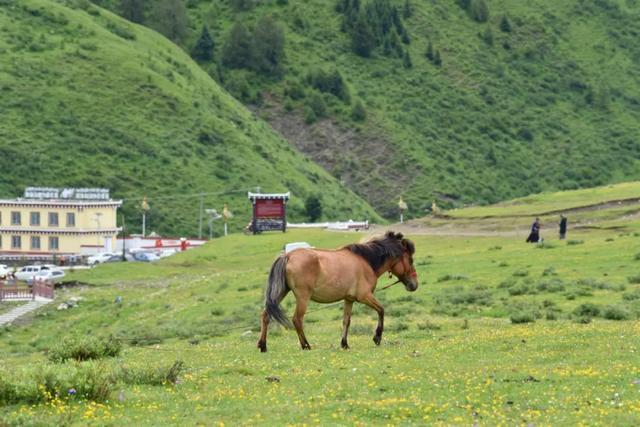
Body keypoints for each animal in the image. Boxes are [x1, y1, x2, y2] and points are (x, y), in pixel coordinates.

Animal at [258, 232, 418, 352]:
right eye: (410, 260)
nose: (414, 285)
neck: (366, 261)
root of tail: (288, 256)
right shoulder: (365, 296)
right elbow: (381, 310)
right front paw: (377, 337)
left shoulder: (349, 299)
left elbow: (346, 321)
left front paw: (344, 344)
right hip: (303, 297)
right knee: (297, 319)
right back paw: (306, 345)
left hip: (281, 292)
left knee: (266, 315)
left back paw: (263, 345)